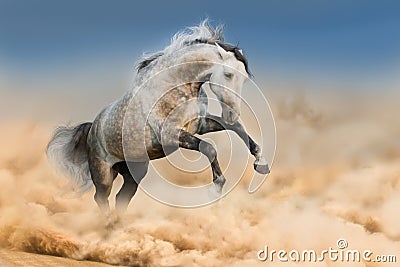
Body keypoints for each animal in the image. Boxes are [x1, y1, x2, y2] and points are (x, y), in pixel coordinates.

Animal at [47, 20, 268, 214]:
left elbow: (237, 128)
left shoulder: (198, 125)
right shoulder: (171, 135)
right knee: (101, 198)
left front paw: (261, 164)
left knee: (122, 197)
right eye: (229, 75)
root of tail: (92, 128)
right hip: (103, 175)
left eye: (245, 79)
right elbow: (209, 148)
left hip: (134, 171)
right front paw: (215, 189)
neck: (176, 86)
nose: (231, 113)